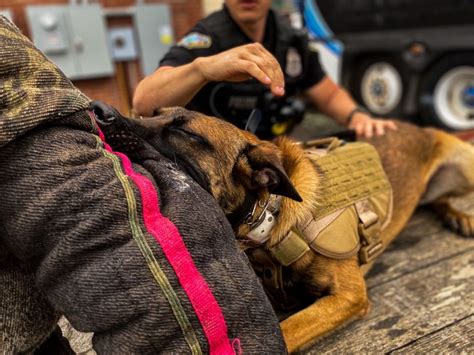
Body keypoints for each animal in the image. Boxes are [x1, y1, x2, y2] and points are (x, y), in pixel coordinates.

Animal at [93, 105, 474, 354]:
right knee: (433, 199)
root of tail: (416, 127)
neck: (268, 217)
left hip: (466, 167)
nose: (99, 108)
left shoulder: (348, 296)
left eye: (186, 132)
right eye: (150, 113)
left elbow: (289, 330)